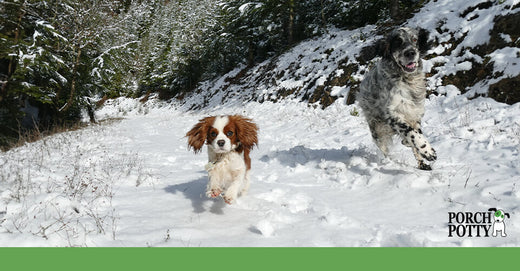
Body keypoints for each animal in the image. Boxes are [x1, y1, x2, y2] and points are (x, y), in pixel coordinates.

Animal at [358, 26, 434, 170]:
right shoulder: (392, 114)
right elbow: (412, 133)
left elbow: (415, 134)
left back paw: (421, 163)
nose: (410, 53)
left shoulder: (414, 114)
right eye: (398, 42)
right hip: (377, 131)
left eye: (414, 39)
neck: (406, 80)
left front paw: (422, 152)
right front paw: (427, 150)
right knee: (385, 150)